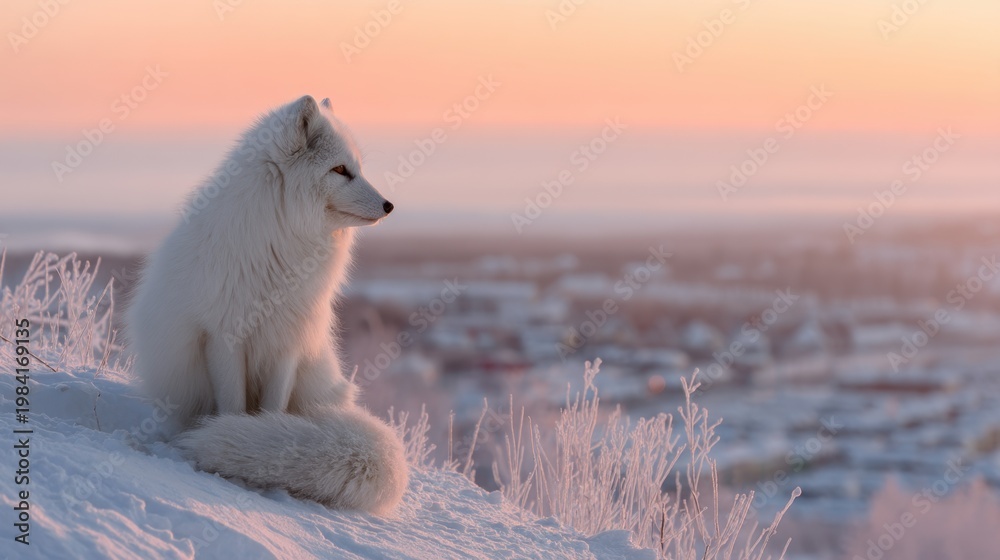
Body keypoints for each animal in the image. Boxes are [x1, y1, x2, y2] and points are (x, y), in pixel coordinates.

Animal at [126, 95, 408, 515]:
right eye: (340, 170)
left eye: (358, 168)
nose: (389, 206)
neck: (283, 246)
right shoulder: (224, 335)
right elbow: (232, 403)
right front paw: (231, 438)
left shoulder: (288, 340)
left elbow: (272, 410)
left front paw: (261, 440)